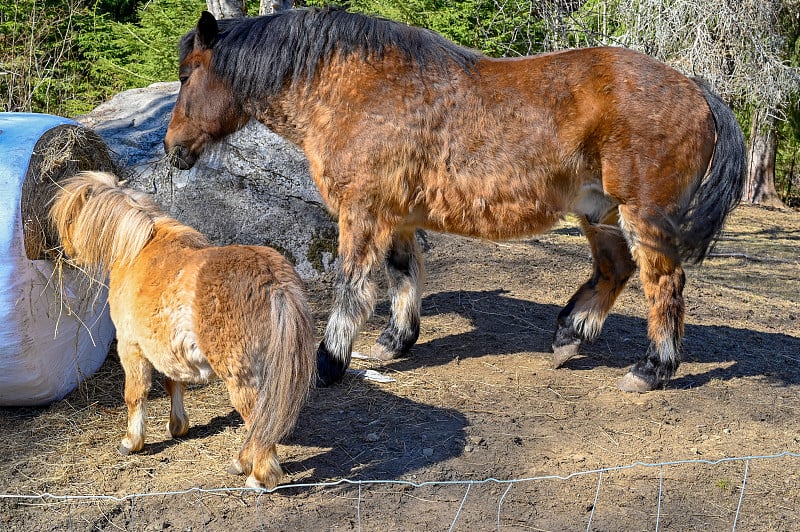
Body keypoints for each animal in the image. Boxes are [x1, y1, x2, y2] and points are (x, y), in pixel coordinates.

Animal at [48, 172, 318, 488]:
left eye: (69, 217)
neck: (137, 249)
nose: (64, 252)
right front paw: (177, 426)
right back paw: (241, 463)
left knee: (257, 422)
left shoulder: (131, 347)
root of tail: (273, 281)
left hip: (241, 377)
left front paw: (131, 442)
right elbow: (173, 385)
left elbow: (135, 394)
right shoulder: (168, 350)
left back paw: (259, 476)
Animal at [166, 7, 748, 390]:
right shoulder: (396, 218)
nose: (173, 148)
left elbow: (352, 287)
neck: (354, 86)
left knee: (663, 283)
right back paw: (569, 335)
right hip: (598, 213)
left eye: (187, 75)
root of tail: (697, 89)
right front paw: (395, 341)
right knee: (615, 270)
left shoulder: (362, 214)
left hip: (641, 215)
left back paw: (653, 368)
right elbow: (403, 277)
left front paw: (330, 361)